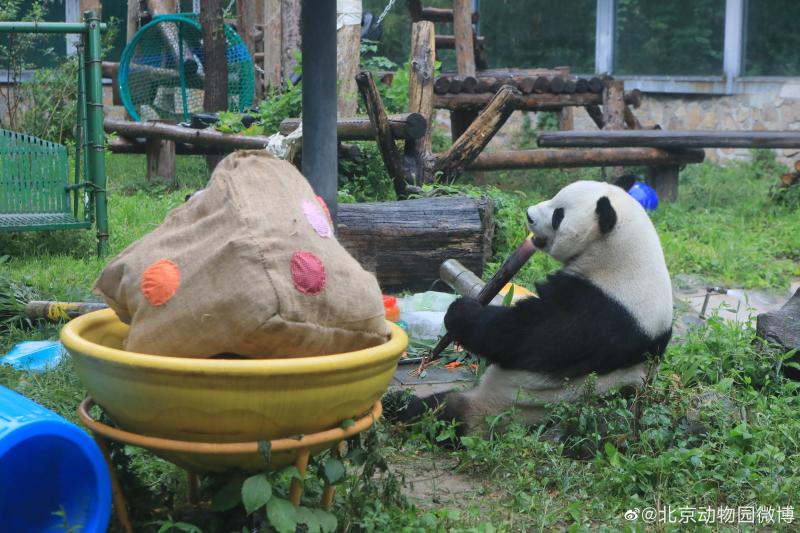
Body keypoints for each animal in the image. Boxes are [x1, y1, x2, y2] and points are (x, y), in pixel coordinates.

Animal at [394, 179, 676, 436]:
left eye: (558, 214)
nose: (529, 214)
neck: (621, 255)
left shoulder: (603, 310)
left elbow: (523, 338)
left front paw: (459, 311)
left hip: (501, 410)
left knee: (441, 413)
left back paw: (409, 412)